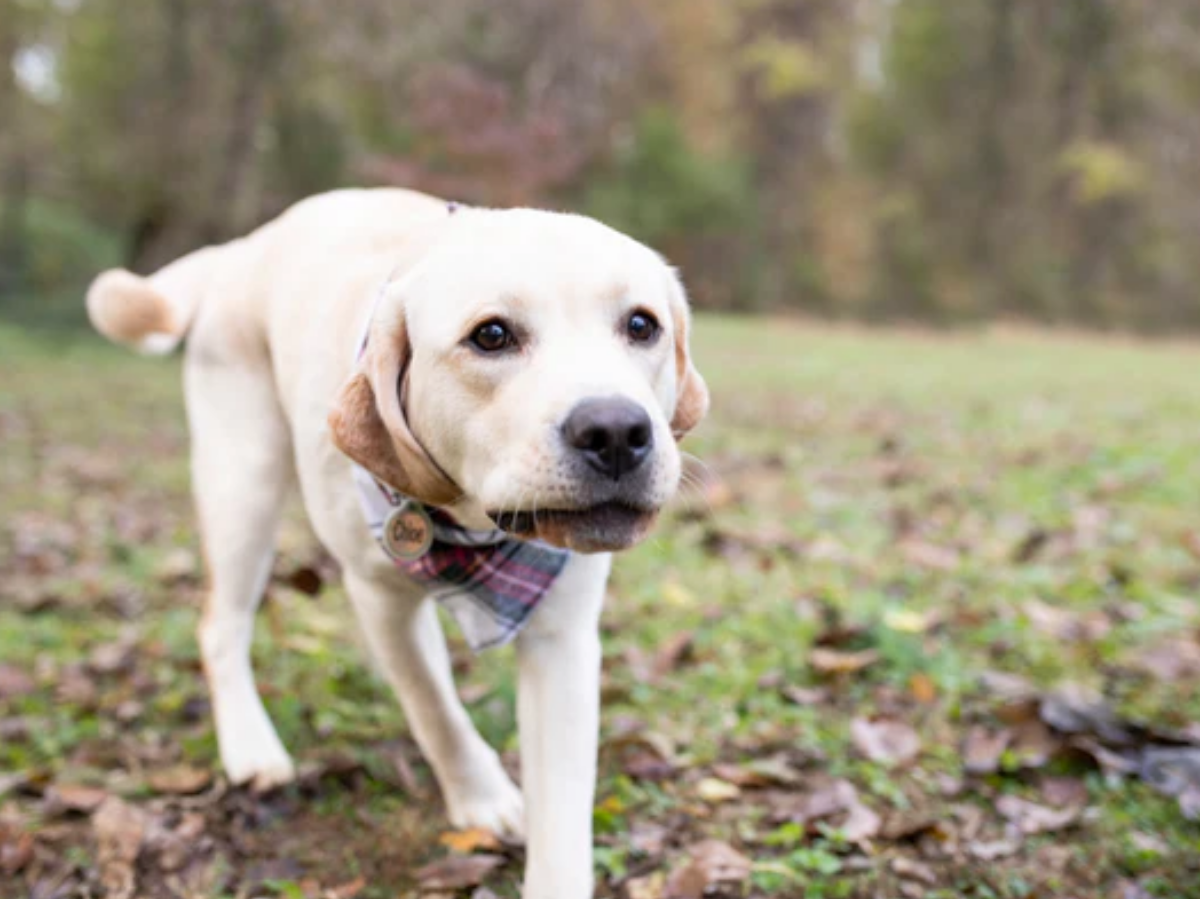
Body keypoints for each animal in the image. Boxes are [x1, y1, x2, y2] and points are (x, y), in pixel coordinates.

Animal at [87, 187, 700, 892]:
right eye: (491, 335)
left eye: (641, 326)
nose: (617, 431)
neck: (472, 528)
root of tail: (246, 247)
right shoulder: (378, 593)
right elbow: (433, 705)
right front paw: (482, 796)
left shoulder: (562, 634)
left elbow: (563, 814)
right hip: (242, 480)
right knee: (222, 625)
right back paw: (250, 745)